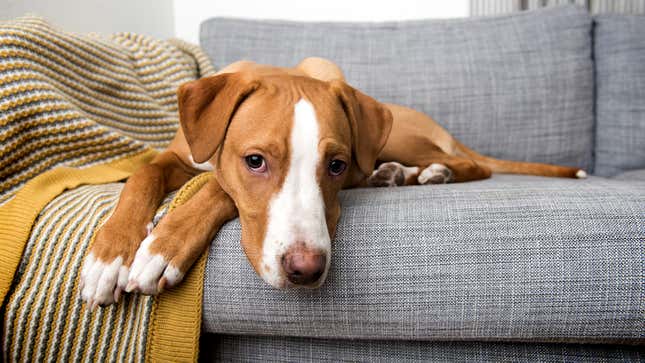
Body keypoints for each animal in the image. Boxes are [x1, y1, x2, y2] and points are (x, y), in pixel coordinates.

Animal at [79, 57, 584, 310]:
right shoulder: (177, 156)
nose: (305, 270)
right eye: (255, 161)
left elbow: (217, 188)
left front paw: (165, 246)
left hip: (400, 136)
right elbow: (144, 173)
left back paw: (431, 172)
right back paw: (394, 175)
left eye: (336, 166)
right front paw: (110, 255)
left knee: (470, 165)